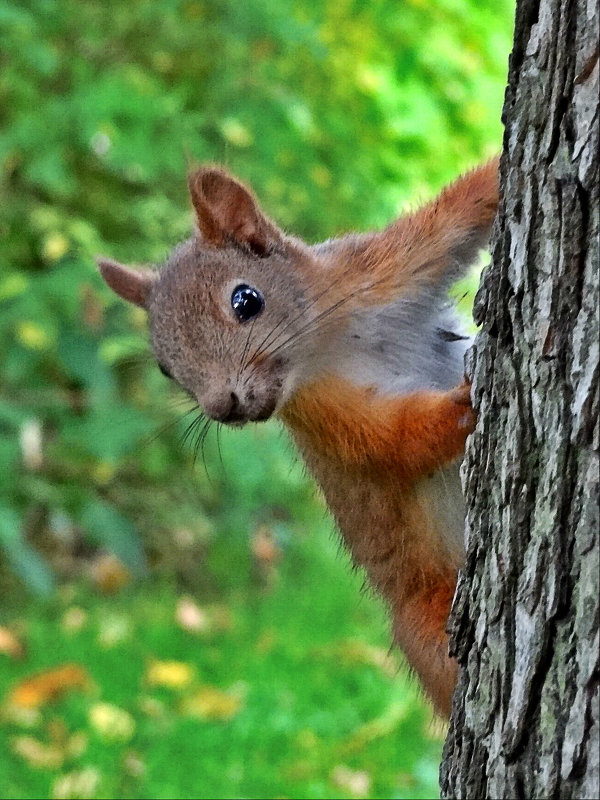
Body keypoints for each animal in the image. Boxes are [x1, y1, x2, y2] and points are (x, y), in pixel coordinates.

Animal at [98, 158, 500, 720]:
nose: (223, 406)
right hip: (428, 625)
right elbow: (393, 439)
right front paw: (463, 403)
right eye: (164, 365)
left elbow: (458, 216)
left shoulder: (380, 269)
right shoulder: (321, 411)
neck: (329, 337)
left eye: (246, 300)